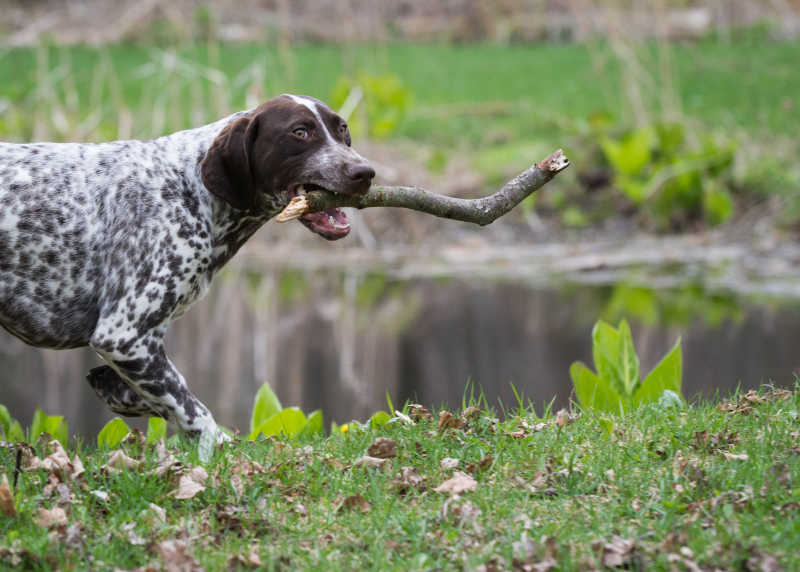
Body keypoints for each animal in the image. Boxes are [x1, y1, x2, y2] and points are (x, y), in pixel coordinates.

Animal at [0, 94, 376, 442]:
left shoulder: (142, 344)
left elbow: (154, 393)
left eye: (342, 130)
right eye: (300, 132)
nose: (365, 173)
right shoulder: (124, 335)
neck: (190, 189)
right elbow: (193, 409)